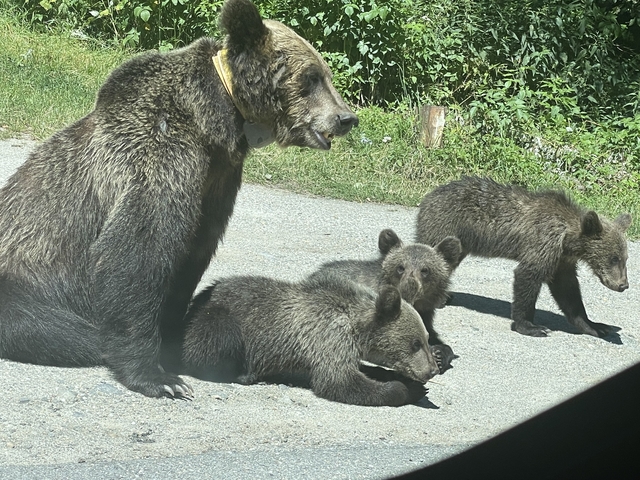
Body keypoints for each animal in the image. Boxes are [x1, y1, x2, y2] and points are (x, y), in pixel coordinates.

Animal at [0, 0, 358, 398]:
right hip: (24, 285)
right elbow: (138, 252)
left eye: (324, 74)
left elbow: (193, 251)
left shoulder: (218, 180)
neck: (216, 121)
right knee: (56, 327)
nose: (346, 117)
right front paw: (158, 376)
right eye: (311, 77)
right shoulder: (159, 156)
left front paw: (173, 339)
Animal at [182, 271, 441, 406]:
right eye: (415, 343)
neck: (355, 326)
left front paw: (405, 380)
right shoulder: (327, 337)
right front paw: (409, 389)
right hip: (219, 318)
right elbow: (339, 382)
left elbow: (363, 370)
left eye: (426, 338)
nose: (432, 370)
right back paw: (245, 374)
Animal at [416, 176, 632, 338]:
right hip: (444, 227)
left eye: (624, 258)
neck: (567, 239)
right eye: (613, 258)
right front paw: (530, 326)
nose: (623, 285)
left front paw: (595, 326)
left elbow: (568, 292)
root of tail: (427, 197)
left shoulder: (562, 261)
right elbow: (527, 278)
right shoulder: (543, 245)